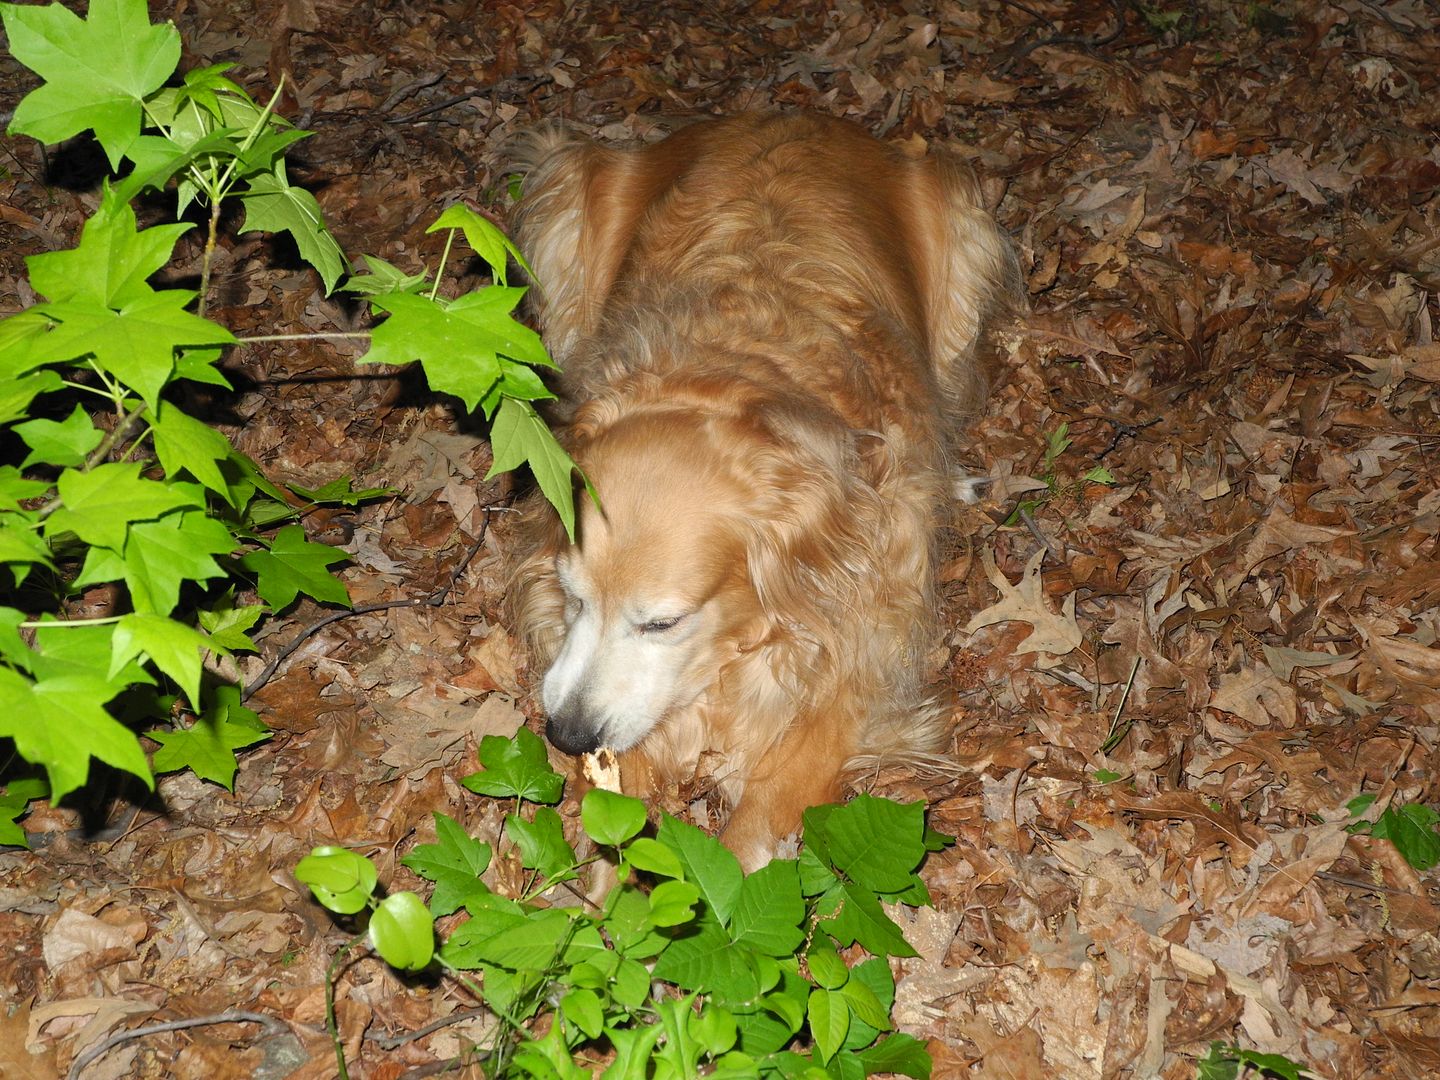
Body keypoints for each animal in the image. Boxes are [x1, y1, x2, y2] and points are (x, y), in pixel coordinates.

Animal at [506, 114, 1025, 869]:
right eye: (573, 598)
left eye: (663, 623)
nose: (566, 735)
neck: (731, 373)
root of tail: (793, 112)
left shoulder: (860, 661)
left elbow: (754, 828)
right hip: (564, 195)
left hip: (966, 237)